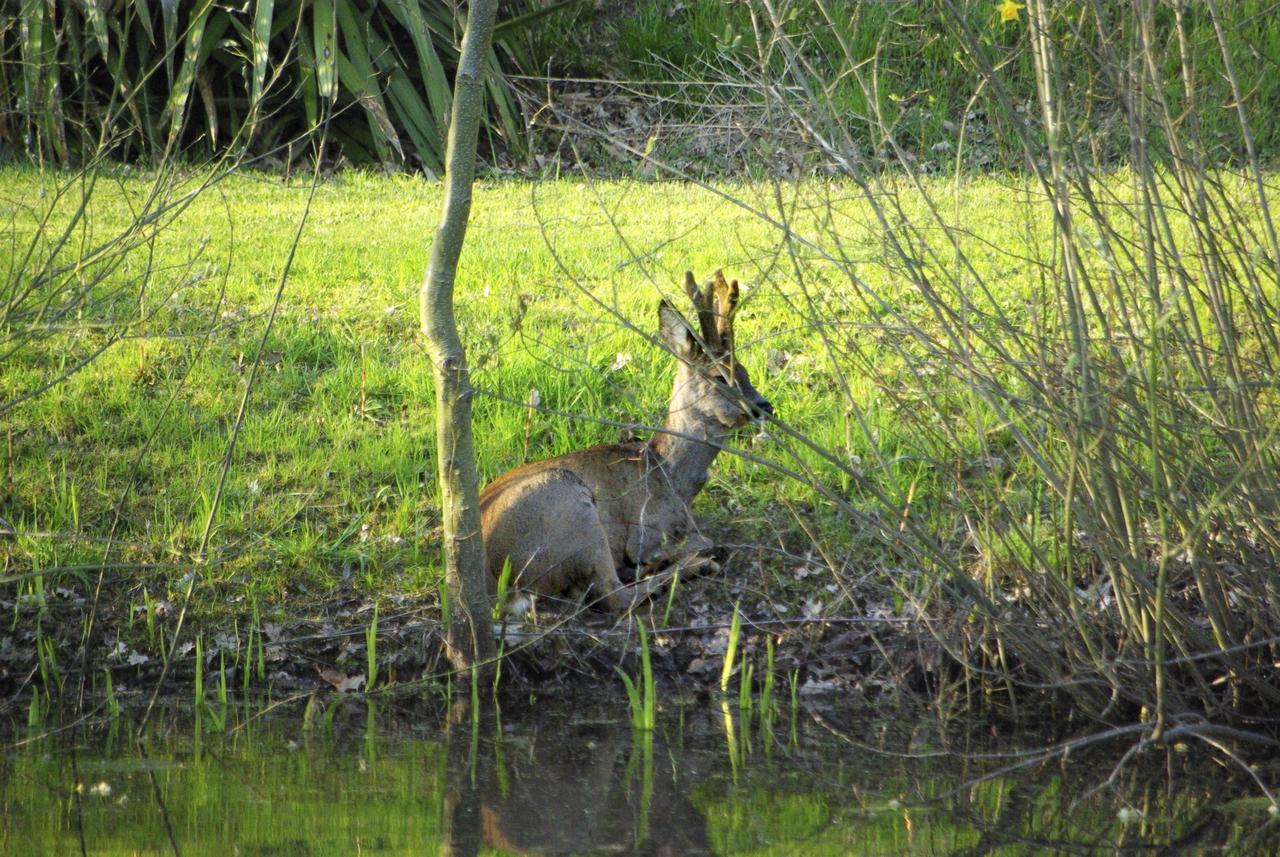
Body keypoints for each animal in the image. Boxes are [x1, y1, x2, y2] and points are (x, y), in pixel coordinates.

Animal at [481, 268, 768, 611]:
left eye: (744, 371)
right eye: (719, 376)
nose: (764, 405)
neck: (671, 475)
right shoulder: (646, 530)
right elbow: (705, 541)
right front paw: (670, 558)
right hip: (573, 512)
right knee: (615, 596)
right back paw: (686, 567)